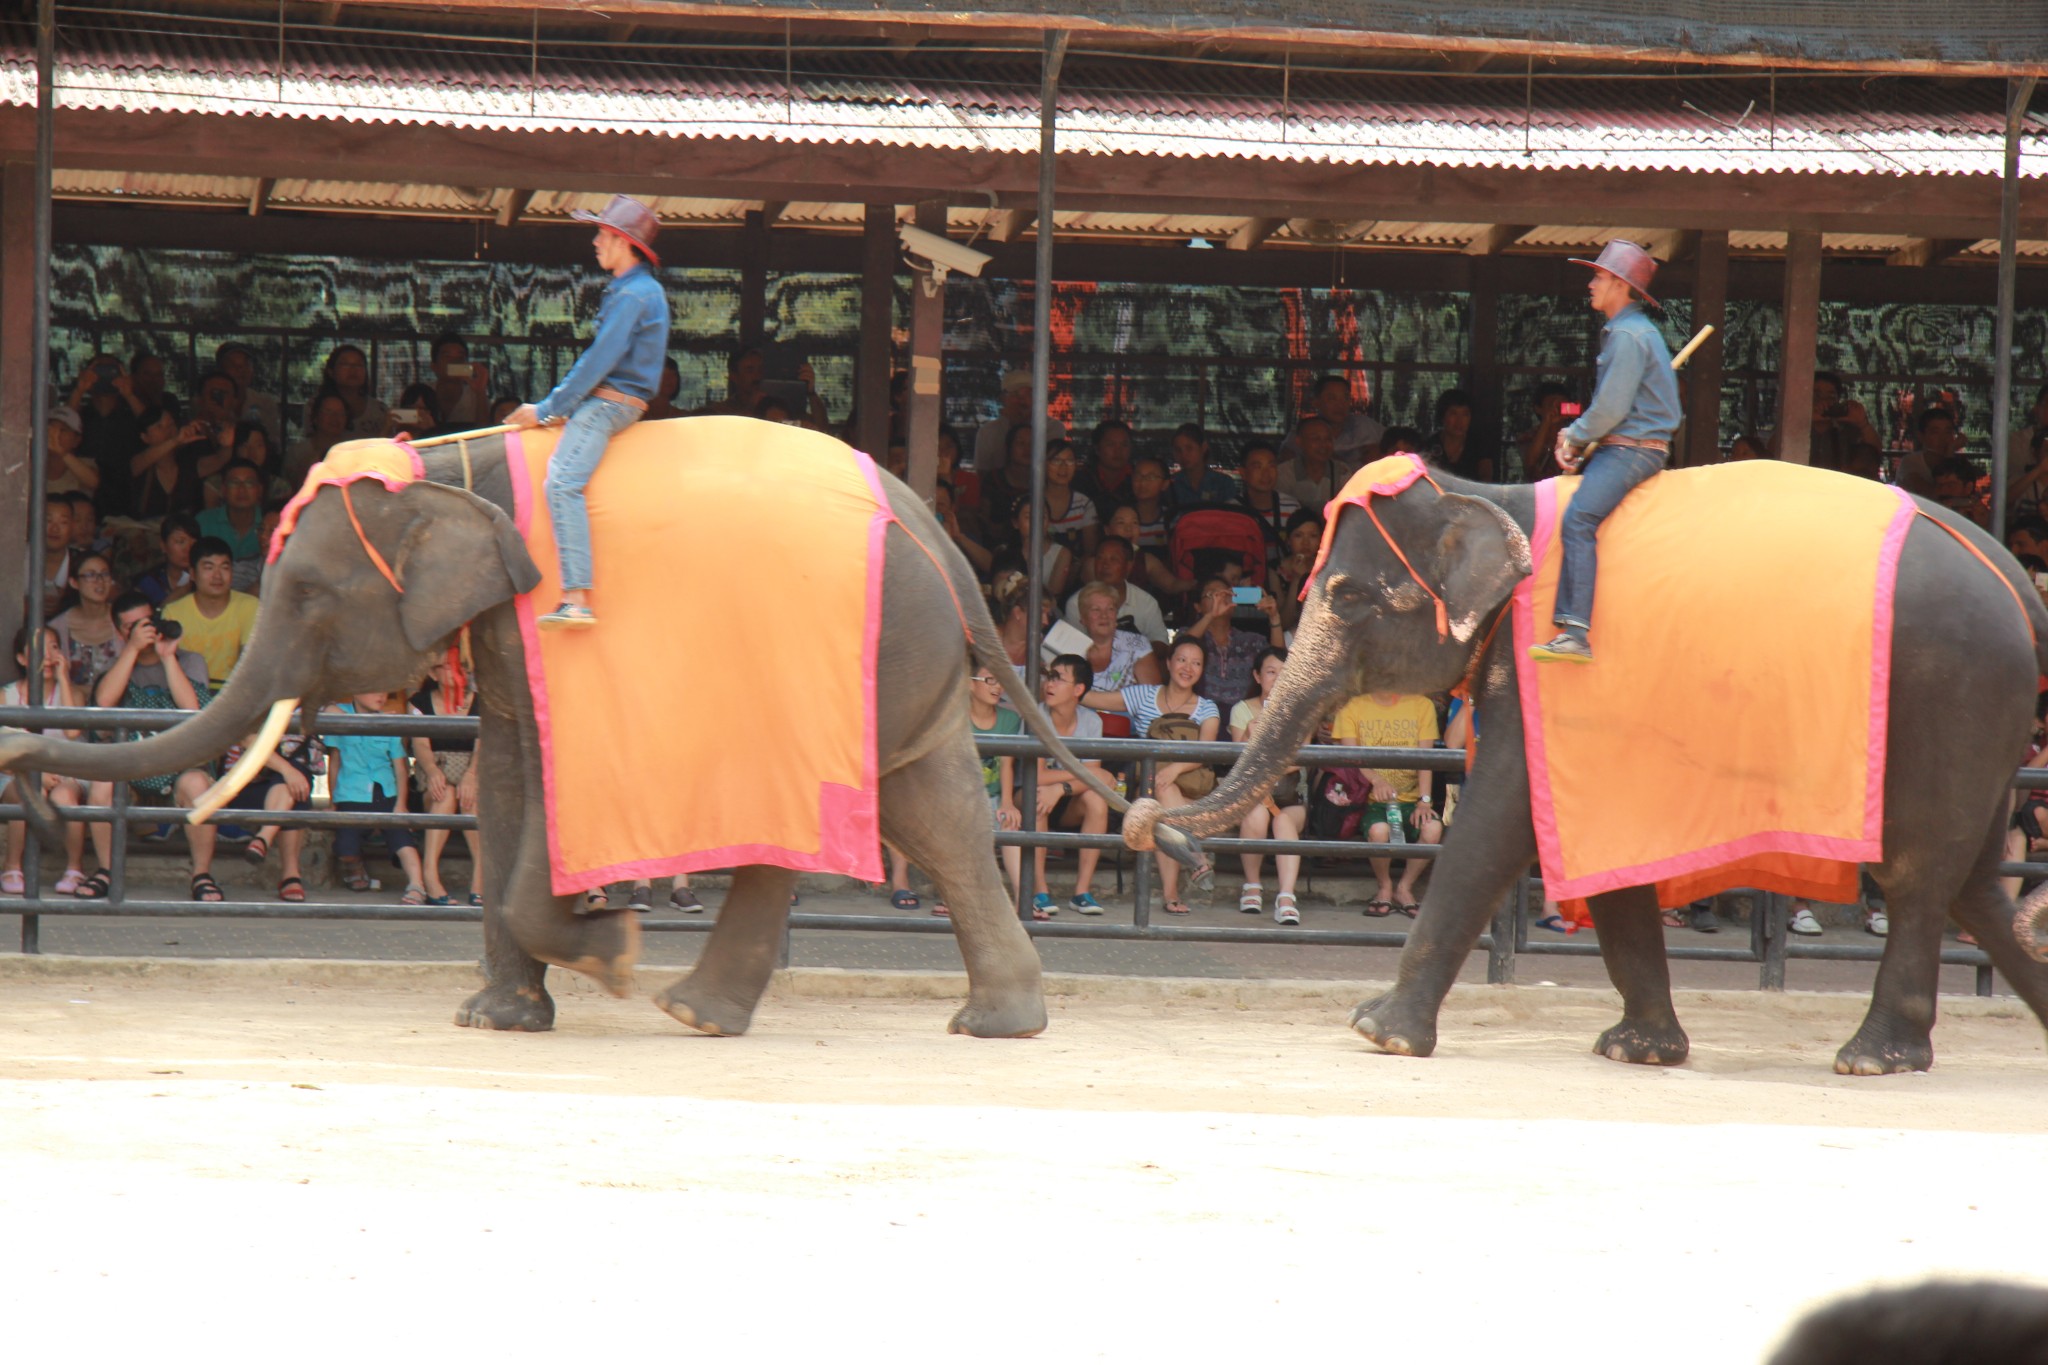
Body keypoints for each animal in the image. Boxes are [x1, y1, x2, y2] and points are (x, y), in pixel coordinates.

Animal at [0, 427, 1196, 1047]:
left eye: (303, 595)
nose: (17, 763)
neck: (455, 472)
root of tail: (947, 545)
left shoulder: (547, 625)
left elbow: (535, 787)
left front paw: (606, 950)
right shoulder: (500, 631)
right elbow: (501, 775)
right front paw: (495, 1018)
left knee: (882, 813)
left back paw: (688, 1005)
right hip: (902, 670)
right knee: (932, 808)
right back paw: (973, 1024)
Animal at [1122, 464, 2048, 1072]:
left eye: (1347, 596)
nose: (1152, 826)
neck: (1489, 494)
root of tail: (2015, 579)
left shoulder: (1549, 674)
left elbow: (1499, 819)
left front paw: (1376, 1032)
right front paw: (1638, 1050)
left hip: (1953, 696)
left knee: (1920, 873)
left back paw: (1872, 1057)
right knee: (1976, 886)